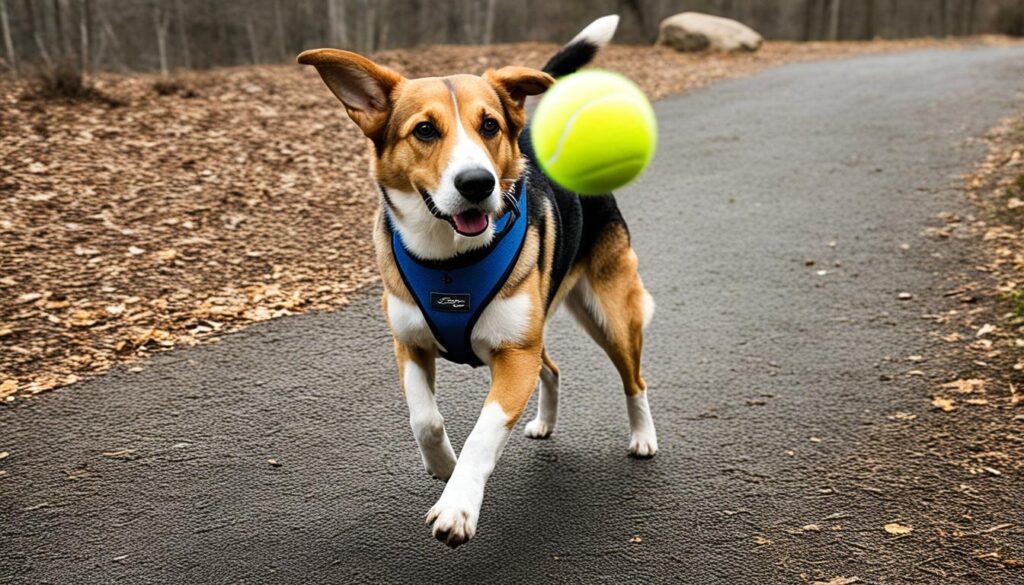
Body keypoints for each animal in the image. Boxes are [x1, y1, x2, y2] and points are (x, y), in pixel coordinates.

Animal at [299, 14, 659, 549]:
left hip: (609, 314)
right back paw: (544, 423)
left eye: (489, 125)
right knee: (552, 369)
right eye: (425, 130)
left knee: (633, 378)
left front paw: (457, 506)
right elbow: (425, 419)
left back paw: (642, 436)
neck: (449, 257)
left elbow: (483, 434)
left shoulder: (514, 356)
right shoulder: (410, 344)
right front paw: (442, 467)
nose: (477, 183)